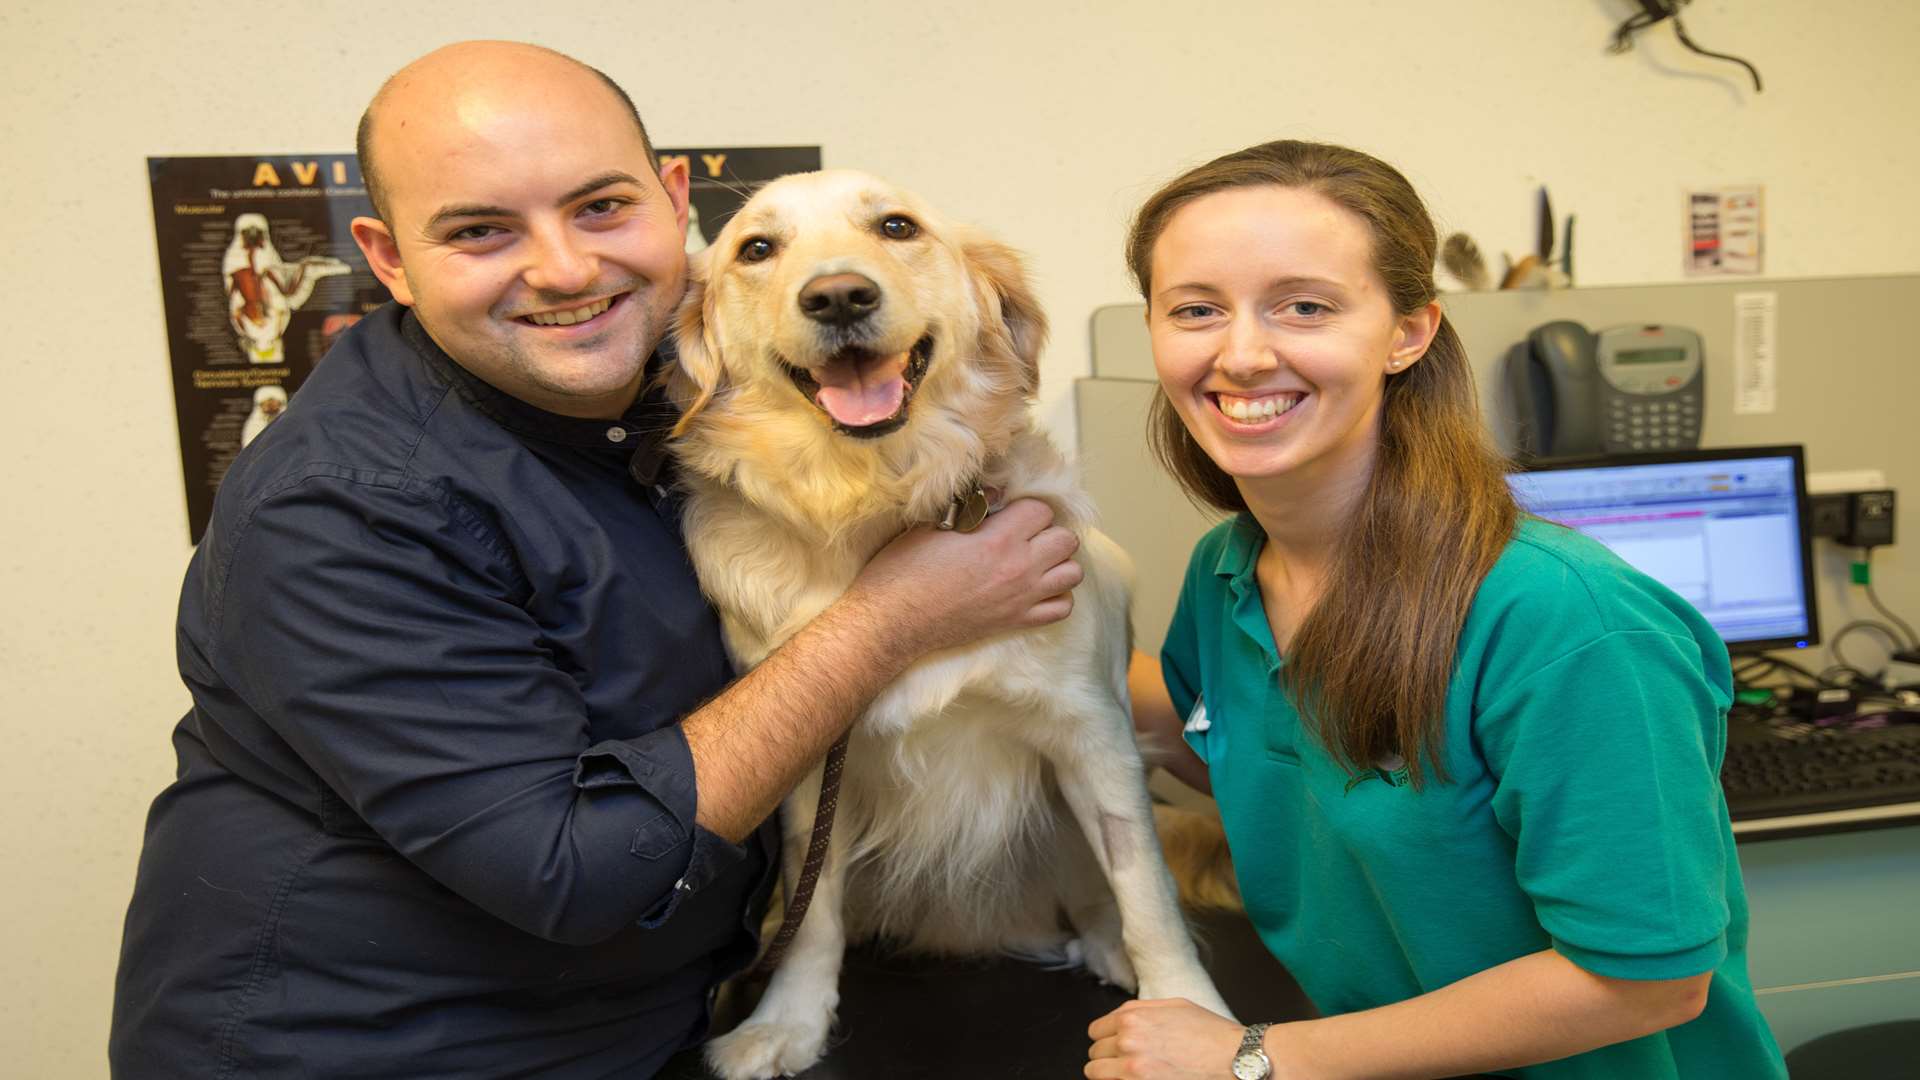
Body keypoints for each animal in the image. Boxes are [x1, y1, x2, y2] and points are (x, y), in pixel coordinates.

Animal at [660, 168, 1228, 1076]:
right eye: (757, 248)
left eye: (897, 227)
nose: (839, 295)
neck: (878, 506)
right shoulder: (812, 771)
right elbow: (813, 909)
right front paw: (788, 1021)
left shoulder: (1091, 734)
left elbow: (1146, 890)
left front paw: (1187, 1010)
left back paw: (1106, 947)